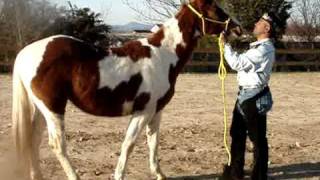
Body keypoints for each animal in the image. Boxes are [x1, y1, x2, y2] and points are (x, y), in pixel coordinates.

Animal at [11, 0, 240, 179]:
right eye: (215, 9)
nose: (238, 28)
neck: (163, 54)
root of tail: (25, 53)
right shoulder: (143, 112)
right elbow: (128, 145)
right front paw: (119, 175)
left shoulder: (156, 111)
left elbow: (153, 142)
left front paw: (159, 174)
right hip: (54, 108)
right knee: (57, 145)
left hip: (41, 110)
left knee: (33, 140)